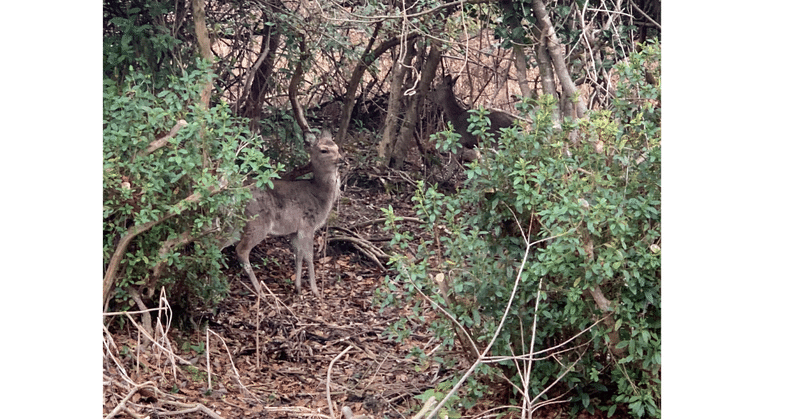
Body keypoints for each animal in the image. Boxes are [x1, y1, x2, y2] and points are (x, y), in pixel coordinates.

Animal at [223, 131, 342, 298]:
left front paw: (298, 287)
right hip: (257, 223)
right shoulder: (307, 224)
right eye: (324, 150)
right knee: (241, 250)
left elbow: (298, 254)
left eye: (337, 147)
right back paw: (260, 291)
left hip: (236, 225)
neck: (320, 195)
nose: (341, 159)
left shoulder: (294, 230)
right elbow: (309, 255)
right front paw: (315, 290)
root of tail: (236, 198)